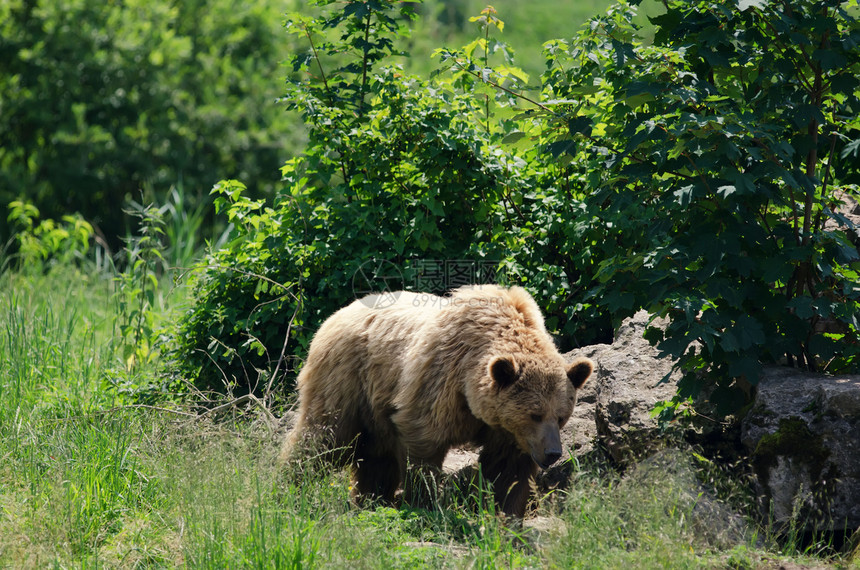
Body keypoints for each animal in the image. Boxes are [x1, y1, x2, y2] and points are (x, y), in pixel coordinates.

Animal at [282, 284, 592, 516]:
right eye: (535, 414)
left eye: (561, 416)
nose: (553, 453)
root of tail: (338, 313)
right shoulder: (440, 384)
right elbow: (425, 443)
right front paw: (422, 501)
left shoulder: (507, 429)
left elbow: (509, 469)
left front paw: (507, 513)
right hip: (348, 380)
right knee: (324, 436)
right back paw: (289, 485)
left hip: (375, 404)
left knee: (375, 457)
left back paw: (372, 498)